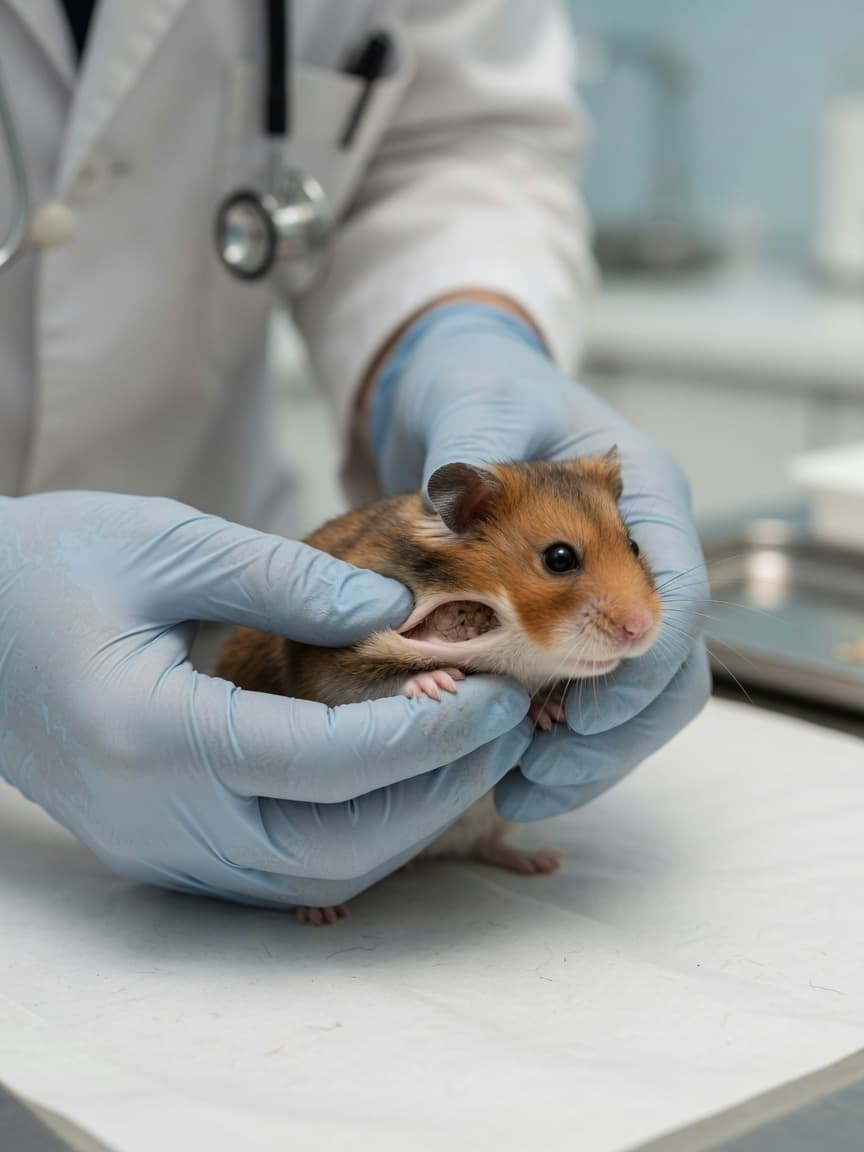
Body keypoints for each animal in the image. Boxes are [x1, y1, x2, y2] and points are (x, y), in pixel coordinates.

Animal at [216, 451, 662, 924]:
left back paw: (538, 862)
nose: (641, 629)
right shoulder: (325, 663)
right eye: (559, 558)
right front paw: (439, 684)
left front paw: (549, 710)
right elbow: (368, 680)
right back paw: (322, 913)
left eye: (634, 546)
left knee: (486, 847)